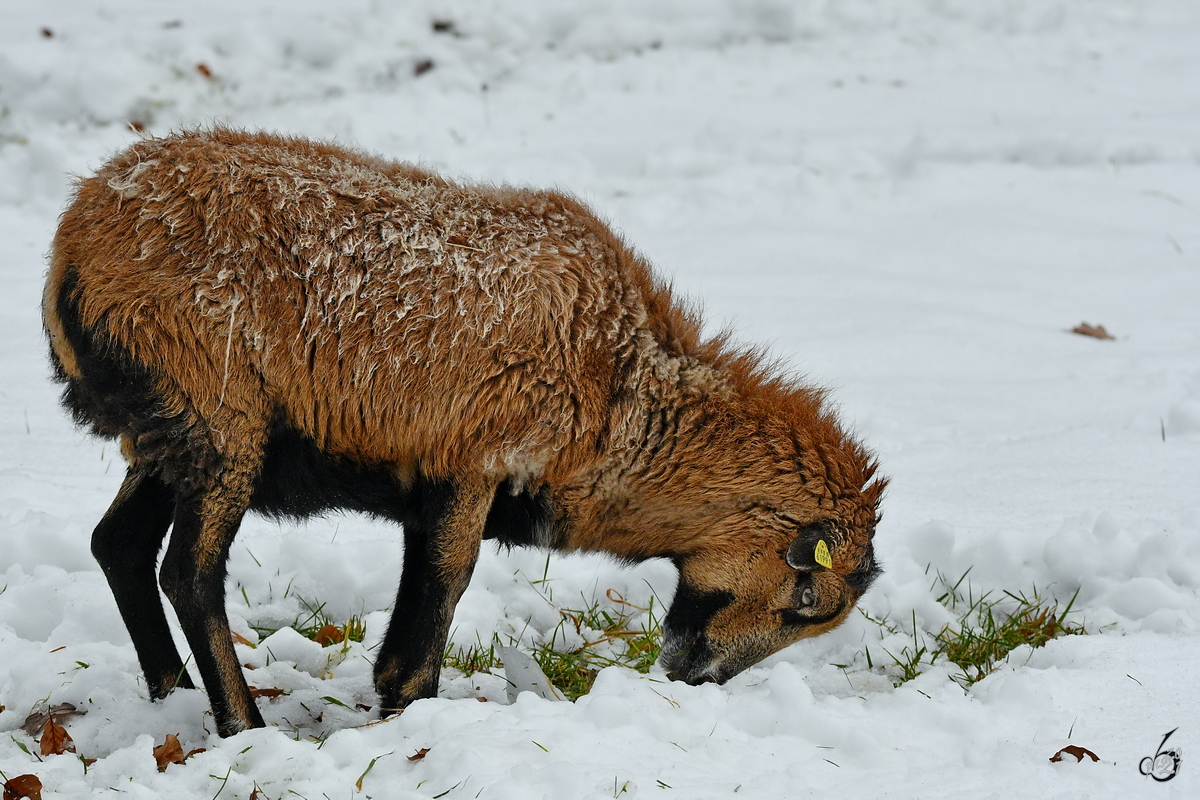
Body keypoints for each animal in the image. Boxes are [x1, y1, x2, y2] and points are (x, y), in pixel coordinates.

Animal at [42, 128, 888, 734]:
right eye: (803, 600)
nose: (694, 677)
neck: (621, 392)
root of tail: (73, 245)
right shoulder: (474, 461)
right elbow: (447, 583)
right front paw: (412, 707)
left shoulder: (432, 483)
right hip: (220, 419)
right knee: (188, 572)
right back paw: (243, 724)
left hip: (169, 434)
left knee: (116, 545)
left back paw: (172, 695)